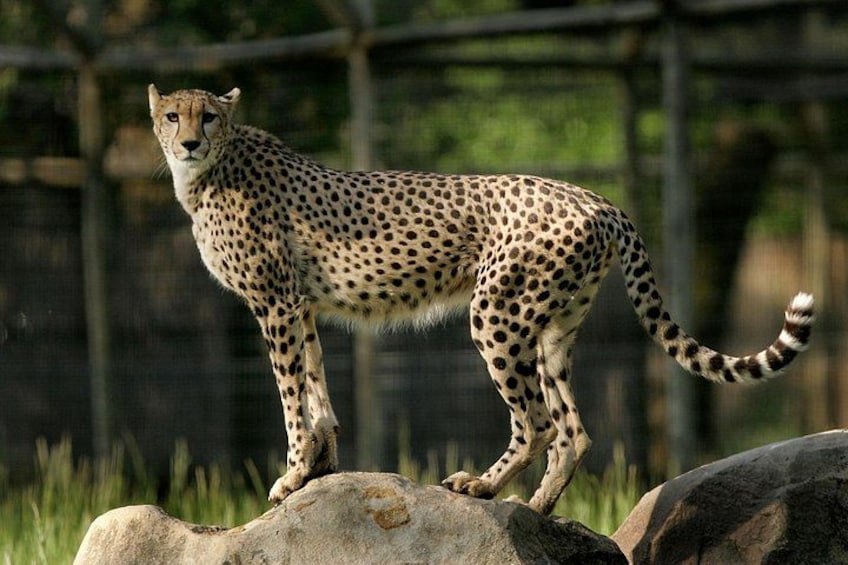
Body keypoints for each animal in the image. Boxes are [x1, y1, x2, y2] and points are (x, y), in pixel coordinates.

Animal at [148, 84, 815, 515]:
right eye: (173, 115)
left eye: (208, 117)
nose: (188, 143)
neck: (207, 174)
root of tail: (597, 199)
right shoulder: (300, 306)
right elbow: (315, 387)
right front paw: (320, 463)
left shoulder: (276, 304)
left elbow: (290, 394)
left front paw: (291, 476)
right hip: (551, 329)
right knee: (573, 430)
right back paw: (538, 509)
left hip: (495, 313)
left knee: (537, 423)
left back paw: (482, 489)